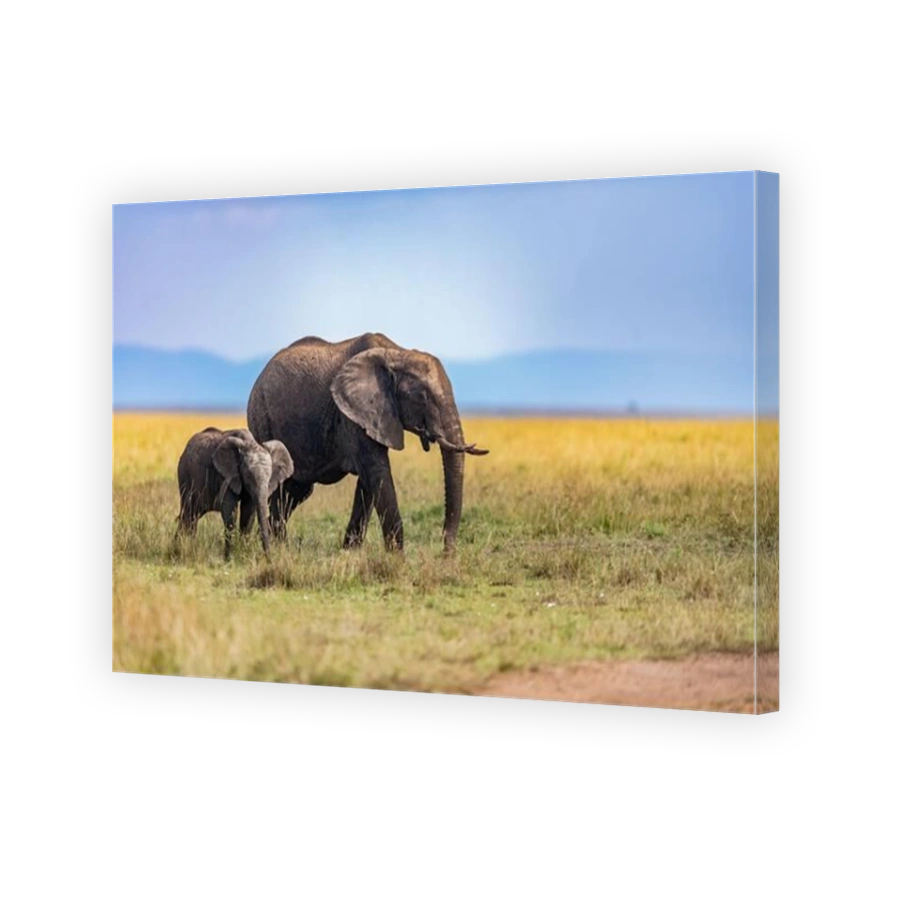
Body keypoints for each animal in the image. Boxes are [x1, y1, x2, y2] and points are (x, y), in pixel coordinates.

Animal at [175, 427, 294, 560]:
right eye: (248, 476)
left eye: (270, 478)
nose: (269, 559)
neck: (250, 443)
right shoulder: (227, 474)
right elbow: (230, 511)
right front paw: (228, 558)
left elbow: (248, 513)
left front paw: (243, 554)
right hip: (185, 475)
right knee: (188, 513)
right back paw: (179, 549)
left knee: (192, 516)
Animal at [246, 332, 488, 553]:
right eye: (422, 397)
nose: (446, 553)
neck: (397, 354)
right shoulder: (352, 415)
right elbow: (377, 471)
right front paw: (396, 556)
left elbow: (369, 483)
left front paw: (350, 552)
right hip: (261, 417)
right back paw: (274, 546)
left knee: (296, 490)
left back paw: (276, 544)